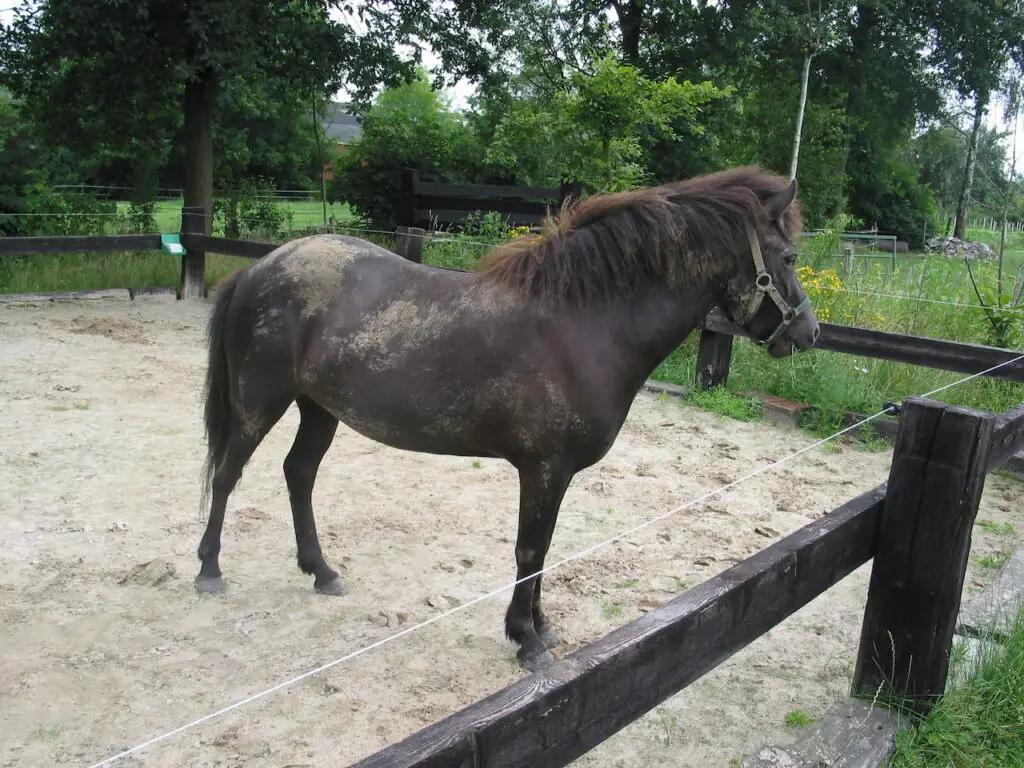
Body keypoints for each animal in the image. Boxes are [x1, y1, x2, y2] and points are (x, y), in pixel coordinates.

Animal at [194, 165, 820, 672]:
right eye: (789, 257)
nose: (809, 333)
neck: (584, 323)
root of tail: (258, 269)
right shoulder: (544, 470)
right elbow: (530, 550)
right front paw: (527, 640)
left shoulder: (554, 474)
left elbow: (542, 549)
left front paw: (541, 626)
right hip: (258, 404)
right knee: (227, 475)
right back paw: (209, 570)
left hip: (319, 409)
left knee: (298, 473)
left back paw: (321, 571)